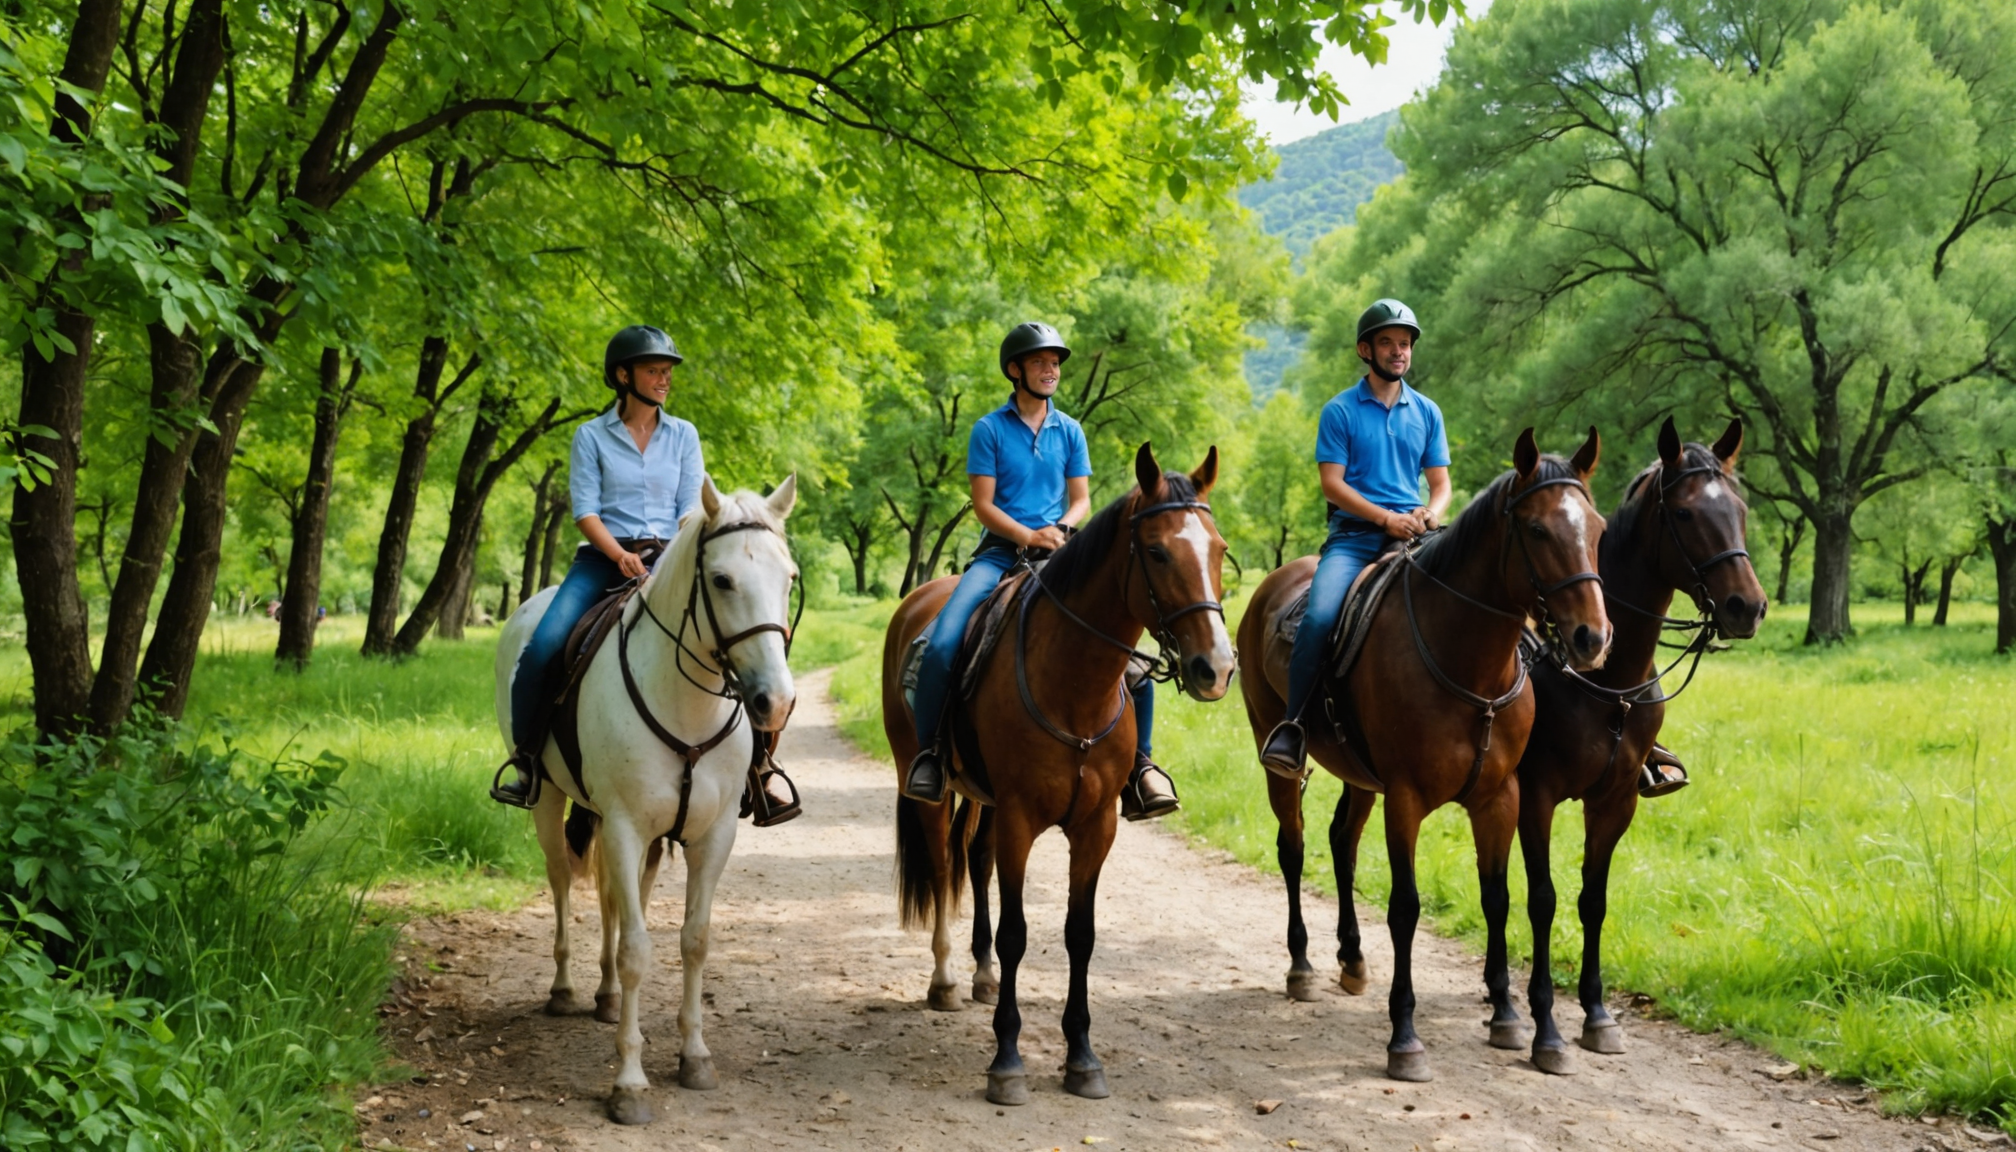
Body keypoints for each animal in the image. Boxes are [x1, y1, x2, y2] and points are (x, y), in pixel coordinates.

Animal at [493, 476, 799, 1125]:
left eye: (788, 577)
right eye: (722, 580)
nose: (776, 702)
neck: (685, 703)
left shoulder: (710, 836)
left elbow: (693, 940)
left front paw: (695, 1056)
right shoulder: (625, 826)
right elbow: (638, 948)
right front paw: (629, 1083)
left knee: (615, 896)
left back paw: (608, 996)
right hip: (549, 802)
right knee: (563, 882)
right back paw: (565, 989)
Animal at [883, 443, 1238, 1106]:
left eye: (1219, 548)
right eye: (1157, 551)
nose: (1217, 668)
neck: (1074, 682)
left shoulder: (1096, 826)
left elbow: (1080, 934)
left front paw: (1081, 1058)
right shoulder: (1023, 818)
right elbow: (1018, 933)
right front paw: (1007, 1062)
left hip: (987, 801)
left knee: (976, 861)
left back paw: (981, 975)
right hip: (931, 792)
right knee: (944, 870)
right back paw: (946, 980)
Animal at [1236, 428, 1612, 1082]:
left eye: (1596, 526)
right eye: (1537, 529)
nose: (1593, 637)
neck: (1468, 661)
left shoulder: (1499, 798)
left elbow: (1498, 896)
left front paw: (1512, 1019)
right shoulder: (1406, 798)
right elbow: (1405, 908)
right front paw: (1405, 1038)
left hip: (1361, 778)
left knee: (1341, 843)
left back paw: (1352, 959)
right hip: (1280, 754)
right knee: (1294, 848)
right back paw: (1302, 966)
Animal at [1513, 418, 1766, 1073]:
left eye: (1739, 509)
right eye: (1684, 513)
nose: (1747, 607)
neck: (1608, 679)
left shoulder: (1615, 802)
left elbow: (1593, 900)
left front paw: (1597, 1016)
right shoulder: (1535, 799)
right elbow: (1542, 899)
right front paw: (1545, 1024)